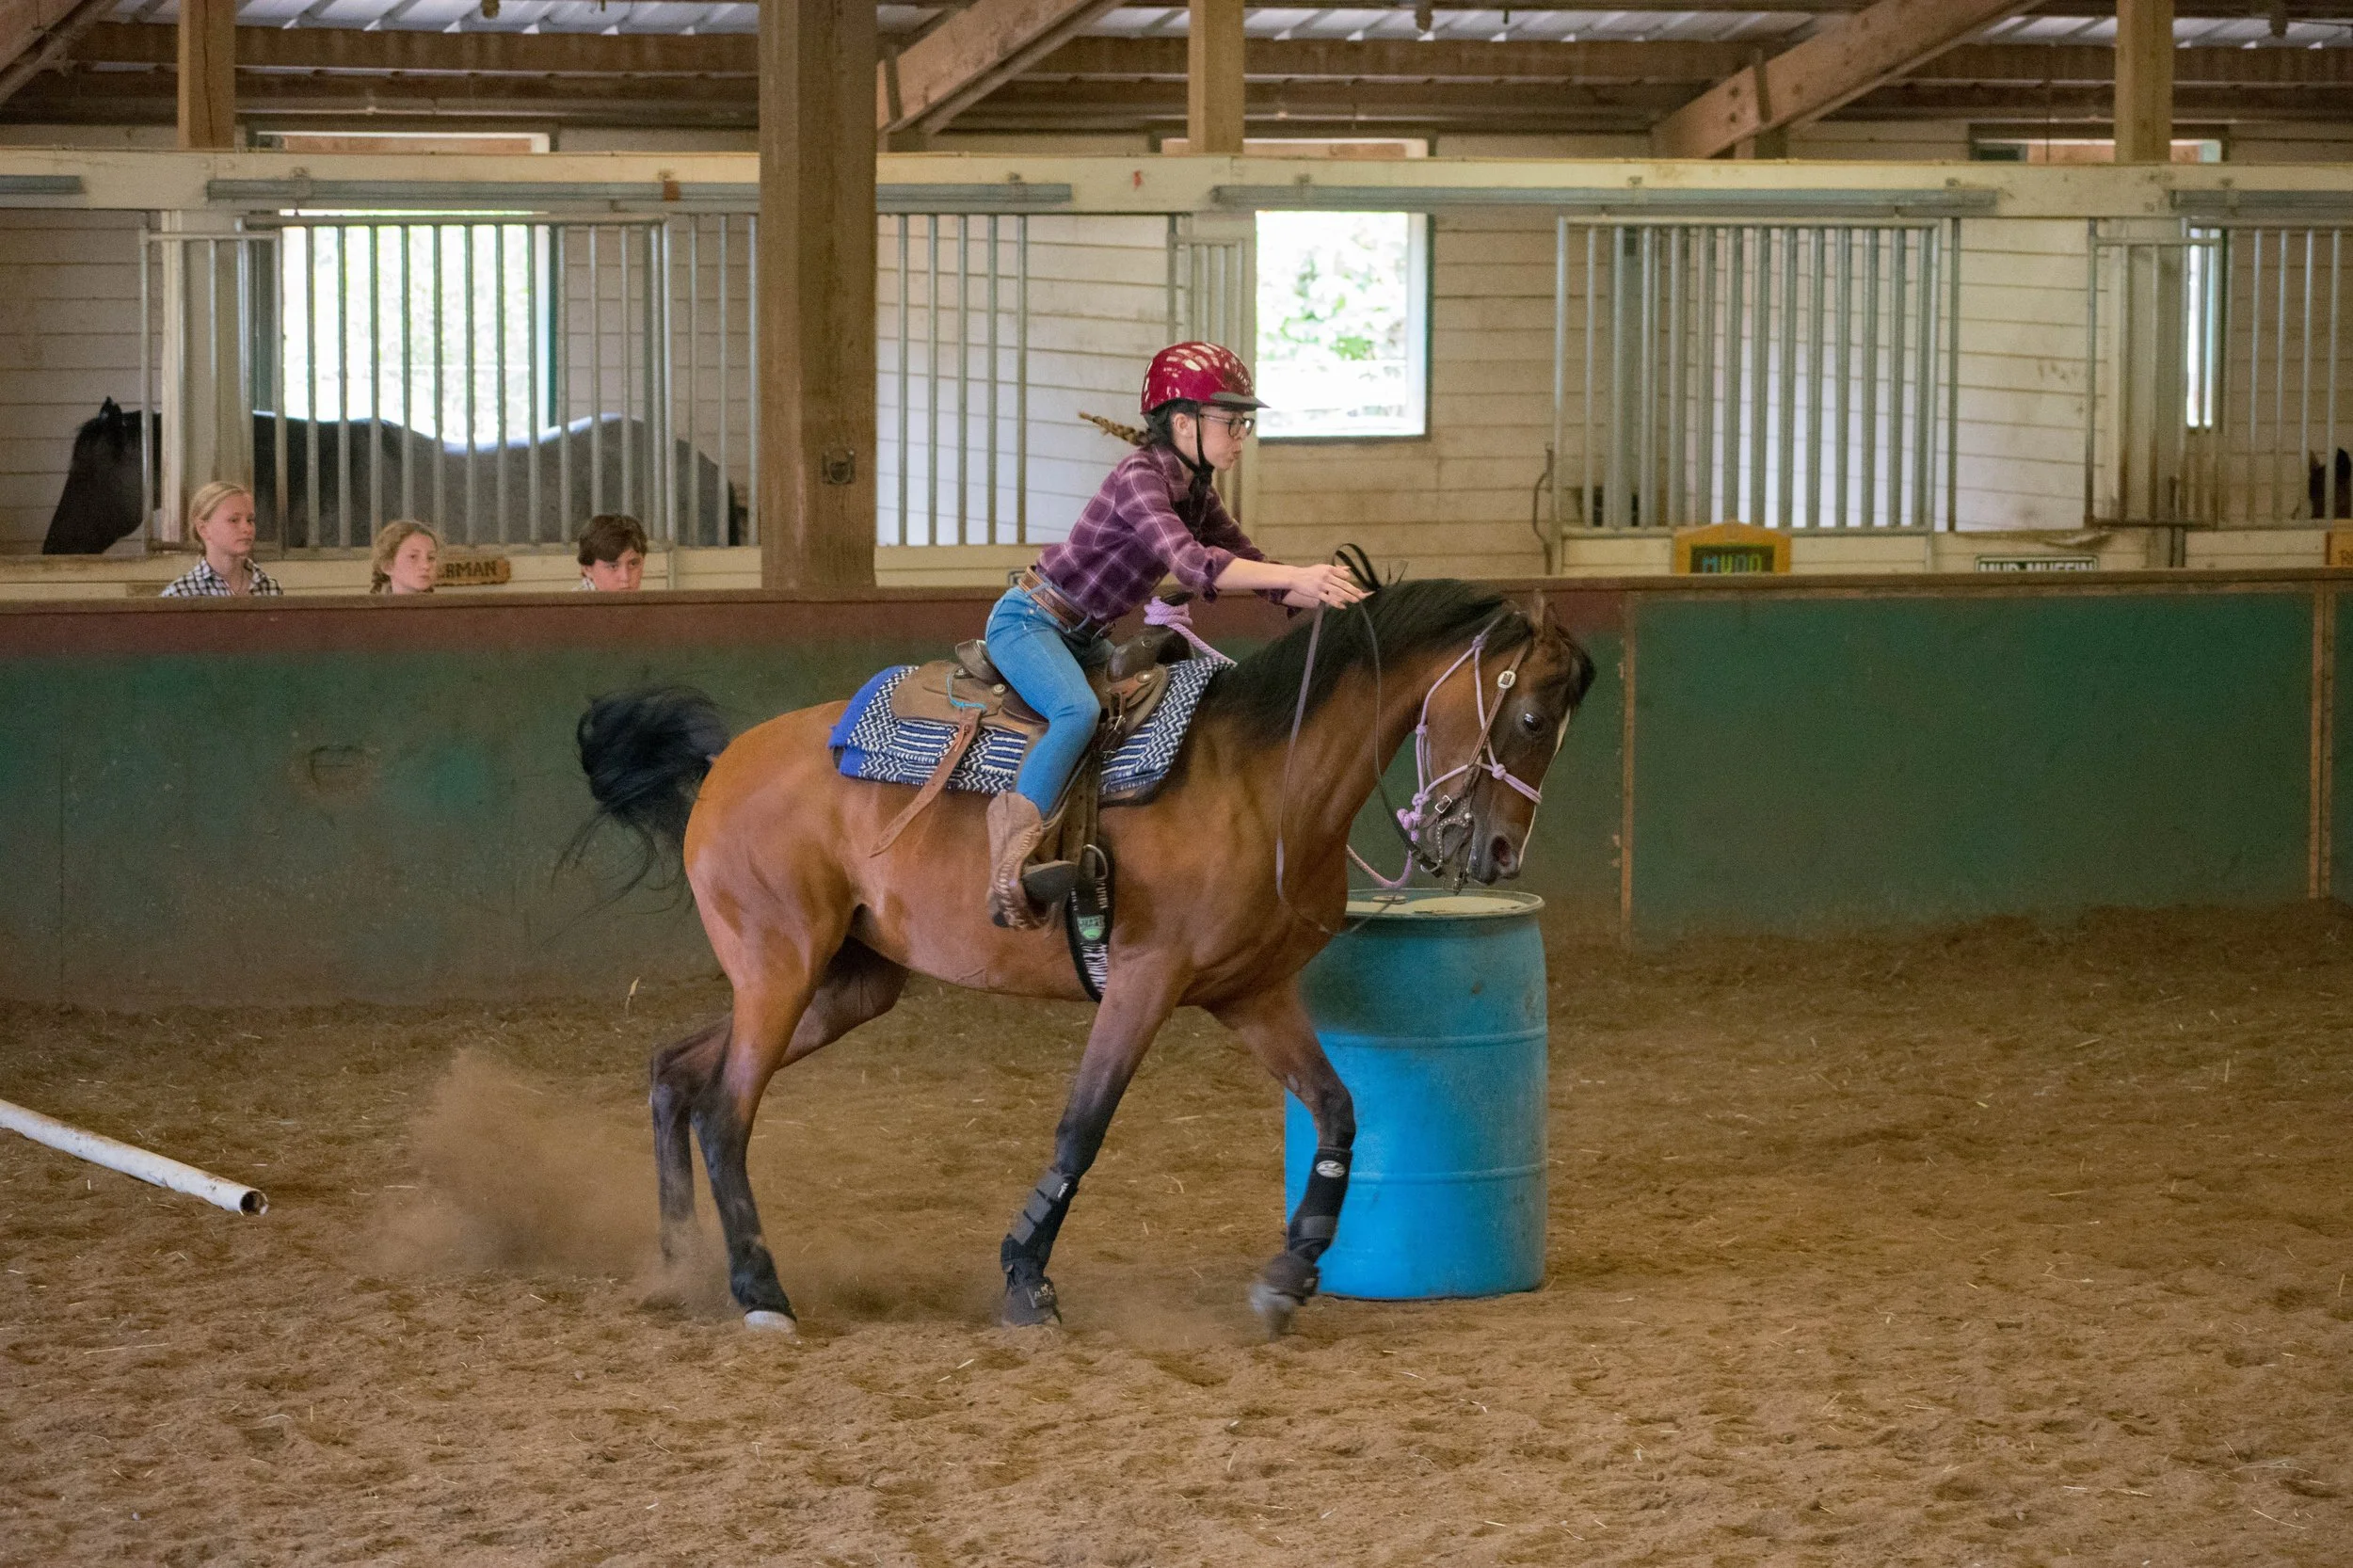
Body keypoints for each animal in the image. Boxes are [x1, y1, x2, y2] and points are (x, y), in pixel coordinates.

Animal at [574, 569, 1599, 1337]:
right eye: (1531, 719)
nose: (1497, 854)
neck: (1262, 777)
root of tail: (724, 766)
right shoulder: (1143, 981)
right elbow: (1082, 1127)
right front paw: (1026, 1278)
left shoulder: (1254, 992)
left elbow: (1340, 1112)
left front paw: (1291, 1271)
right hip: (779, 967)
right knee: (727, 1112)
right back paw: (760, 1292)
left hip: (844, 984)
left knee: (677, 1073)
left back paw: (680, 1264)